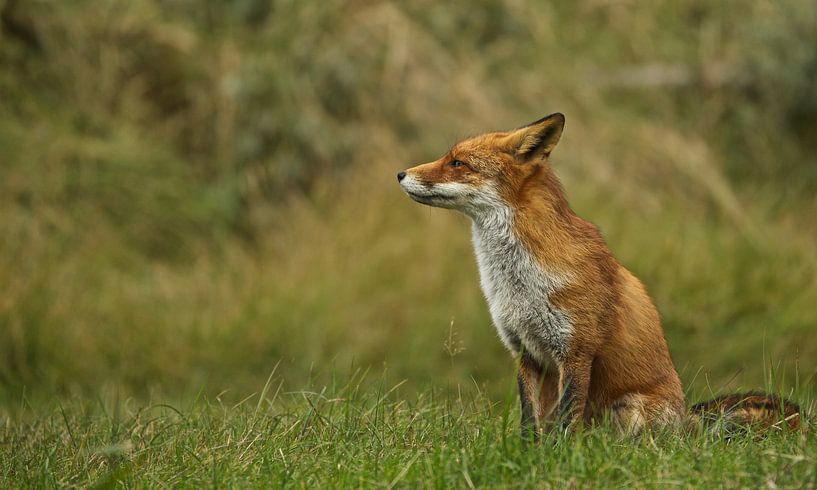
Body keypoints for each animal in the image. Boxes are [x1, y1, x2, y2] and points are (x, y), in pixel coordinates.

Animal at [397, 113, 801, 437]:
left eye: (457, 163)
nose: (401, 173)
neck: (517, 281)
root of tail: (687, 418)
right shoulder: (526, 351)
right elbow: (529, 421)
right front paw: (527, 456)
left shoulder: (576, 351)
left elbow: (564, 421)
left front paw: (557, 460)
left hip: (631, 410)